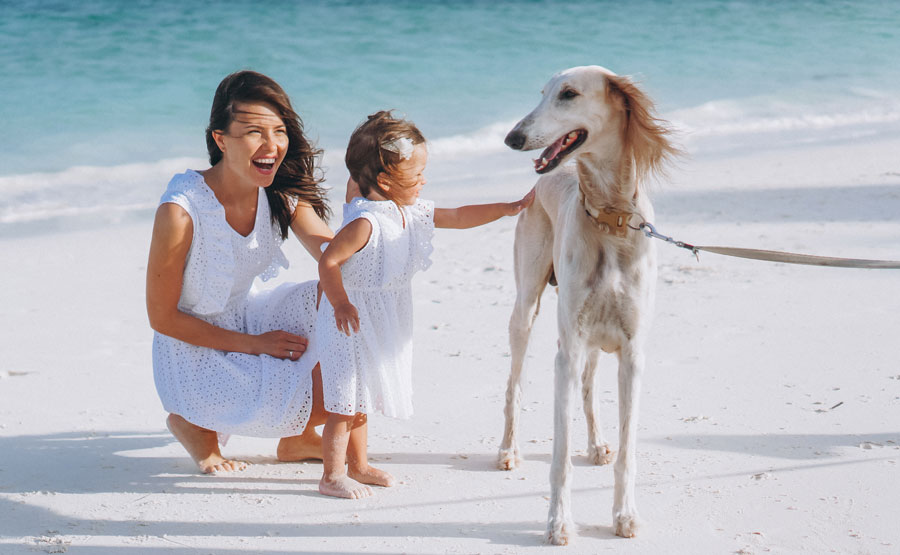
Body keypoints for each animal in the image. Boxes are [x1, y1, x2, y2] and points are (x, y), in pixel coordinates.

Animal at [500, 66, 676, 548]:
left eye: (568, 94)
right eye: (542, 93)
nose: (512, 137)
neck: (610, 218)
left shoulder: (632, 352)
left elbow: (628, 450)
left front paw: (625, 515)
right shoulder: (568, 348)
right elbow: (560, 457)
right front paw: (558, 523)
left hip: (597, 337)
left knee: (588, 389)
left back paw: (597, 444)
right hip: (526, 309)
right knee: (514, 385)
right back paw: (508, 449)